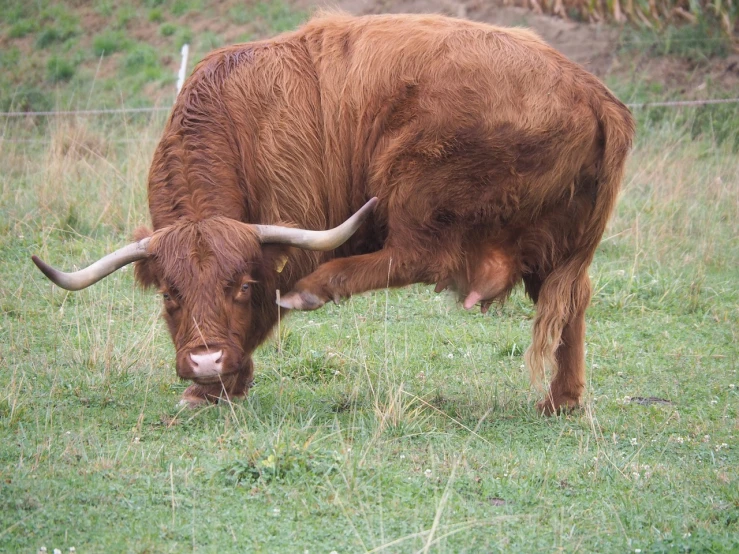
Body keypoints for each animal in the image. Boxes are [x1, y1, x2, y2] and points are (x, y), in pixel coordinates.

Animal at [33, 12, 636, 412]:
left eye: (241, 287)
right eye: (168, 294)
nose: (205, 362)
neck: (234, 123)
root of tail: (594, 90)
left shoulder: (288, 225)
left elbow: (271, 303)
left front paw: (215, 390)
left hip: (415, 178)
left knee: (419, 256)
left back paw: (317, 288)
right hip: (552, 243)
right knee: (571, 300)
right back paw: (563, 400)